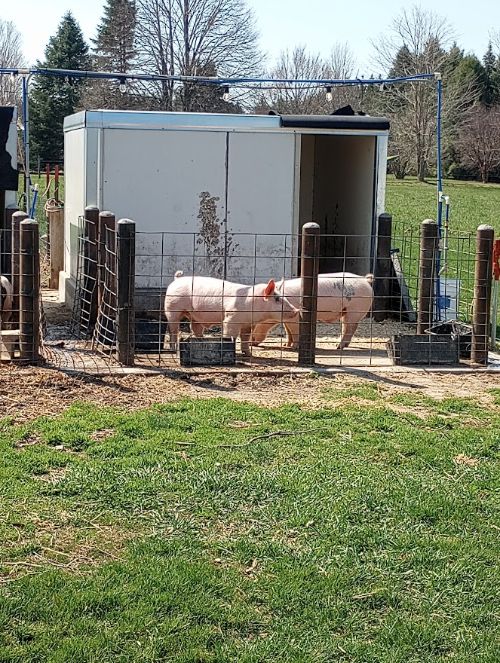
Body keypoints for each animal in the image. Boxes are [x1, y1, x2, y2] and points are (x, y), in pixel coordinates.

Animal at [164, 271, 300, 355]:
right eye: (276, 299)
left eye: (284, 297)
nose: (296, 310)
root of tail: (177, 280)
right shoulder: (231, 318)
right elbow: (230, 335)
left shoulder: (248, 324)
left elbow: (245, 338)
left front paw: (248, 354)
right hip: (172, 309)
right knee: (173, 331)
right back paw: (173, 349)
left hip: (195, 315)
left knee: (195, 328)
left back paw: (202, 341)